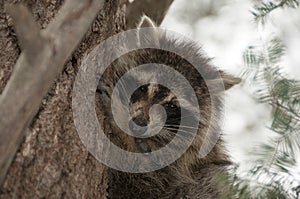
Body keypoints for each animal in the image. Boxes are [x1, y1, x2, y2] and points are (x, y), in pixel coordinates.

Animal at [95, 16, 240, 198]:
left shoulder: (180, 165)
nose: (139, 123)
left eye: (171, 105)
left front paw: (117, 121)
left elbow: (140, 175)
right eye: (143, 88)